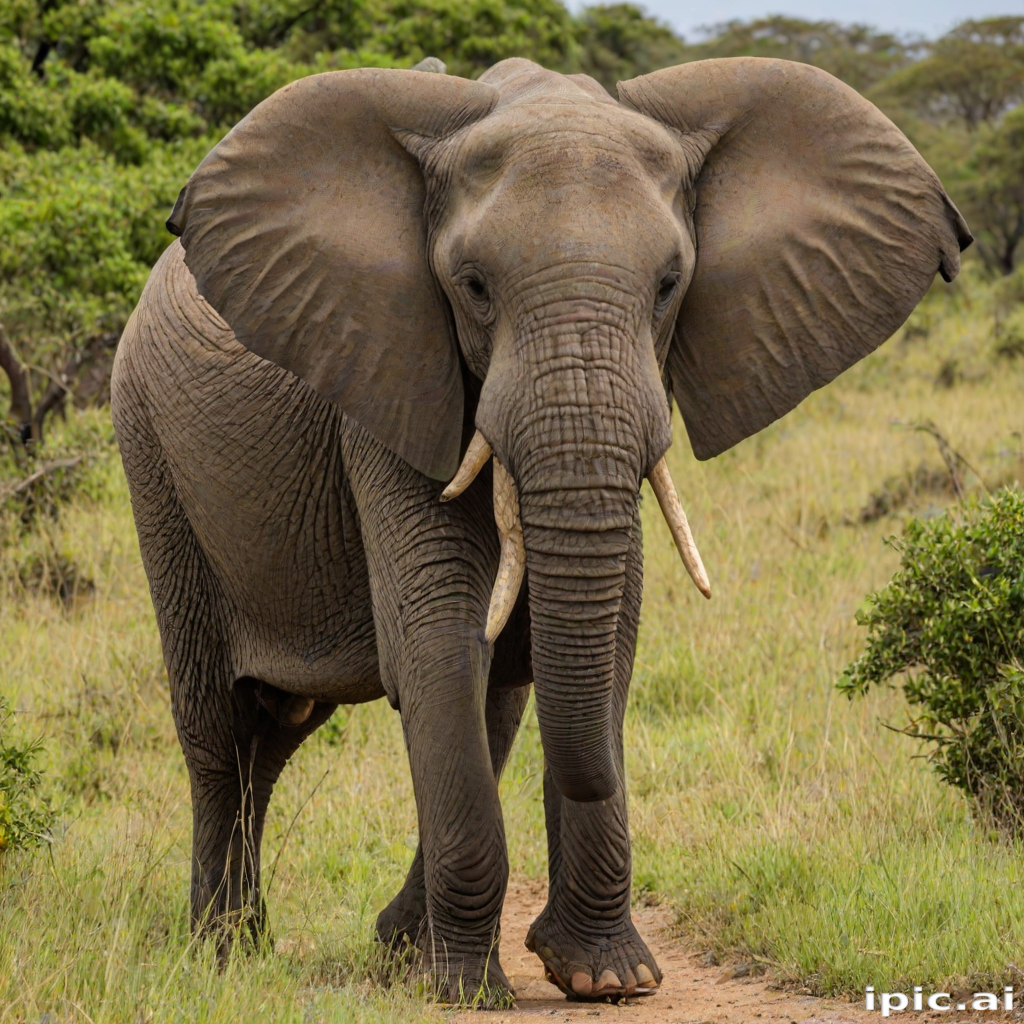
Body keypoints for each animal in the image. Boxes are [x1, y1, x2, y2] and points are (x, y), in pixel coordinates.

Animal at [110, 55, 970, 1006]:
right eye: (474, 287)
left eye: (670, 285)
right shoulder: (390, 376)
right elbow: (440, 639)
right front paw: (464, 991)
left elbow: (604, 642)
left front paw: (608, 977)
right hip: (151, 453)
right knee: (222, 728)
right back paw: (224, 954)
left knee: (320, 727)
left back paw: (374, 945)